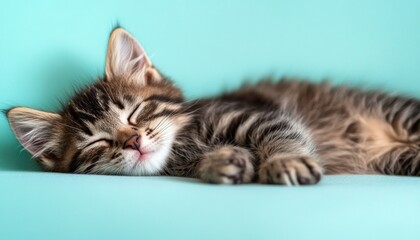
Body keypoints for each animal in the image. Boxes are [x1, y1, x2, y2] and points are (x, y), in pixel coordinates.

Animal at [5, 28, 420, 186]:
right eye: (97, 143)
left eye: (135, 114)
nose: (133, 141)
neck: (184, 144)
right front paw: (221, 162)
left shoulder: (258, 114)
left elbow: (283, 135)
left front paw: (284, 161)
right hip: (398, 160)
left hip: (401, 115)